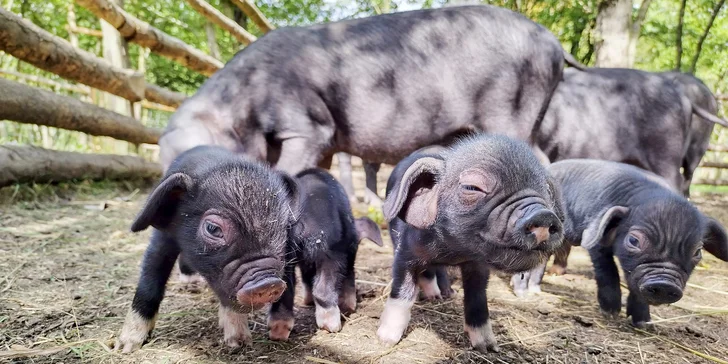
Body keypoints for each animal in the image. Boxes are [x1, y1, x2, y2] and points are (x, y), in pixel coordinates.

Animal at [115, 146, 298, 352]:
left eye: (284, 226)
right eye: (212, 228)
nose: (268, 283)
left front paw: (239, 342)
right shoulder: (163, 239)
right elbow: (150, 280)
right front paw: (125, 347)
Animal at [378, 134, 564, 352]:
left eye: (547, 191)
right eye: (472, 187)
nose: (543, 215)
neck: (453, 252)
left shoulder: (478, 266)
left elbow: (477, 299)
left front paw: (489, 347)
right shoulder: (405, 253)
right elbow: (402, 292)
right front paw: (385, 340)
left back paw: (445, 295)